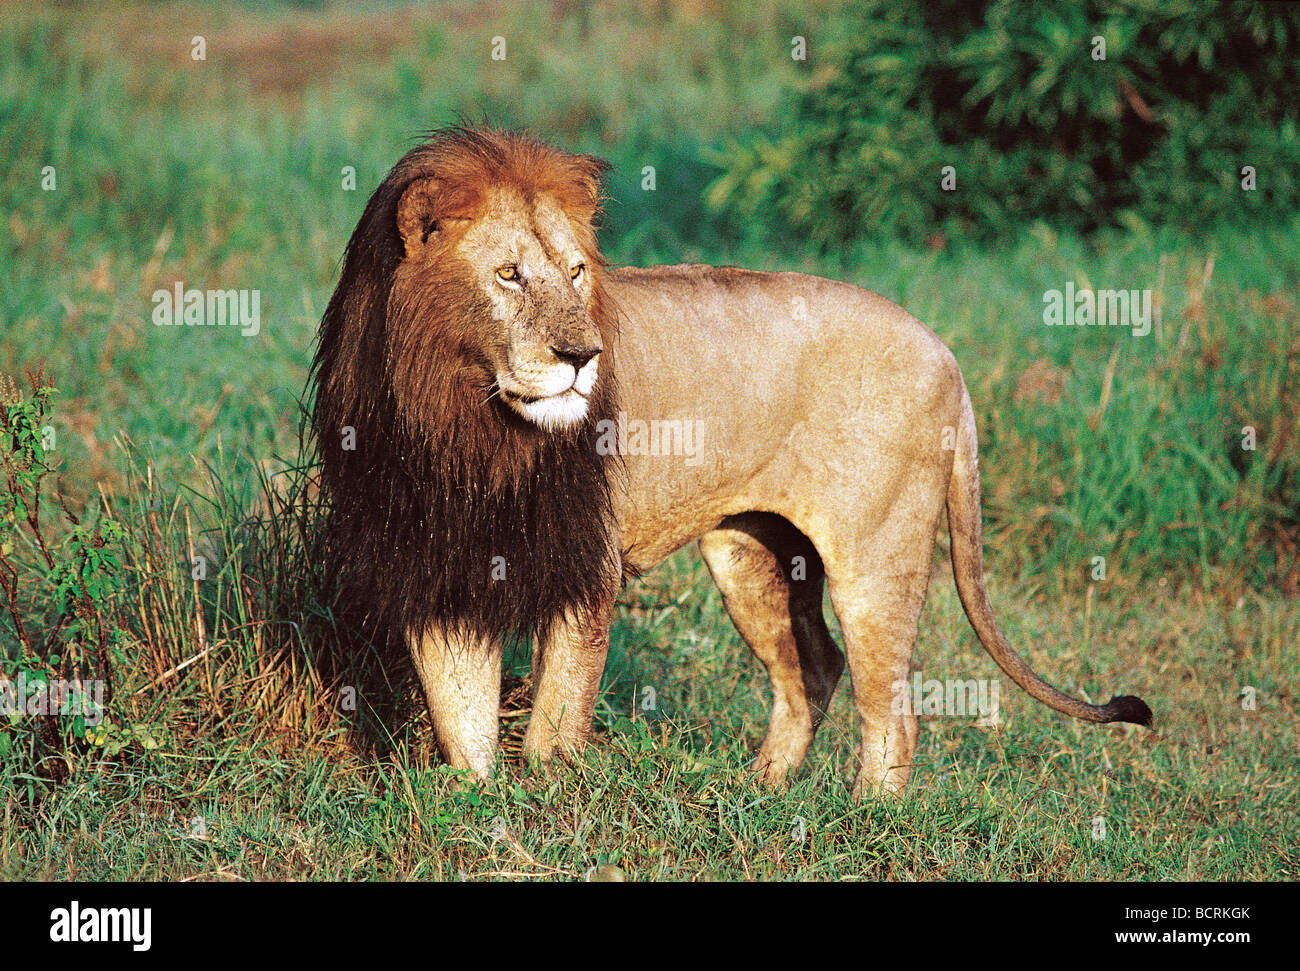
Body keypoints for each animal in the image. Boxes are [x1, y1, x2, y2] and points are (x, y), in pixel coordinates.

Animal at [309, 125, 1154, 795]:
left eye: (577, 272)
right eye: (509, 274)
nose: (583, 356)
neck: (464, 421)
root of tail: (945, 353)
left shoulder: (587, 565)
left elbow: (555, 714)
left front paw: (548, 798)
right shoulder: (434, 565)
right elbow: (461, 723)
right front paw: (476, 804)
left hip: (875, 555)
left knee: (893, 705)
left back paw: (867, 817)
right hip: (753, 554)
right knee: (813, 669)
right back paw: (762, 789)